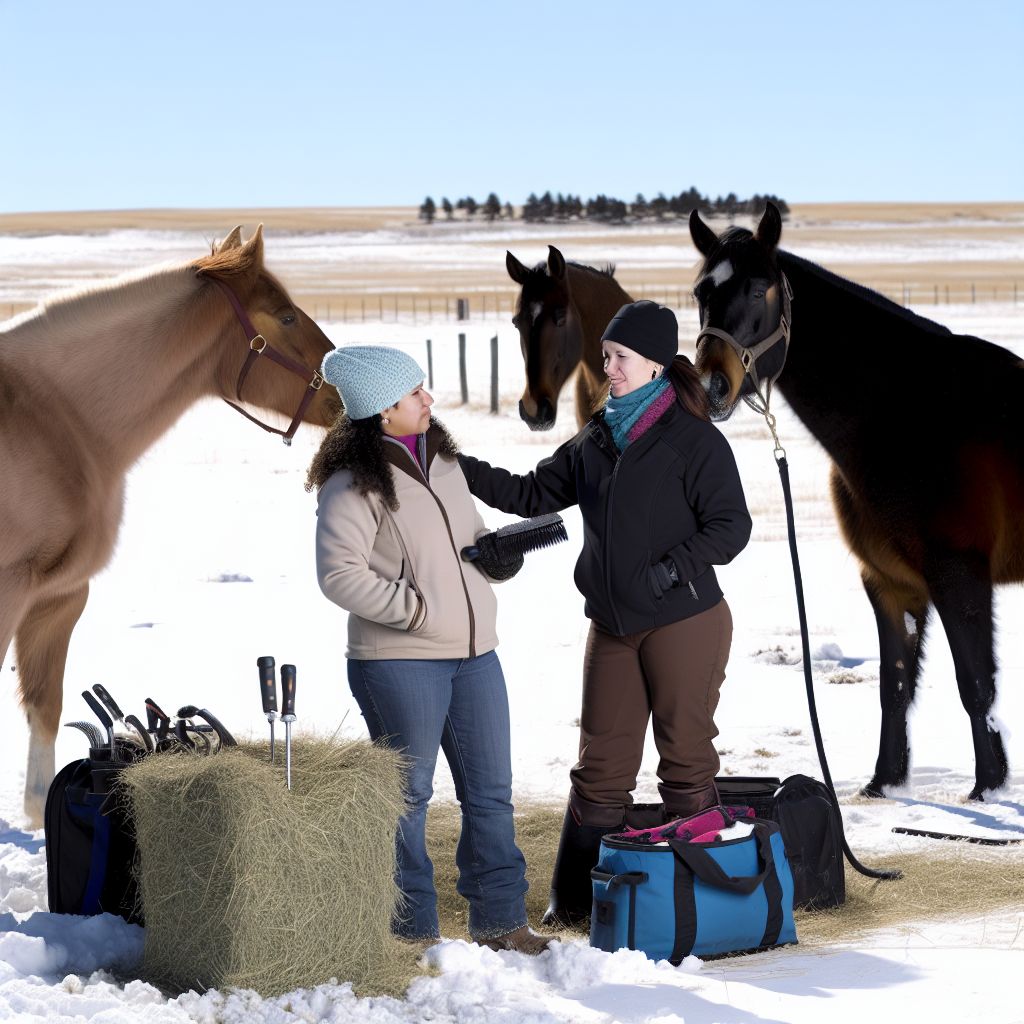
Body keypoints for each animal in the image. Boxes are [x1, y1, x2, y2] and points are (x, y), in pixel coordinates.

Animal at [1, 224, 339, 823]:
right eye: (286, 316)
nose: (349, 395)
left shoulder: (56, 599)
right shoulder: (11, 591)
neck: (57, 423)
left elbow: (45, 720)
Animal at [688, 203, 1024, 802]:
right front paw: (883, 782)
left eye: (759, 290)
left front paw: (988, 787)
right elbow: (895, 686)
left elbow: (975, 685)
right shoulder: (890, 581)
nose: (710, 386)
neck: (905, 417)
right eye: (702, 291)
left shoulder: (959, 574)